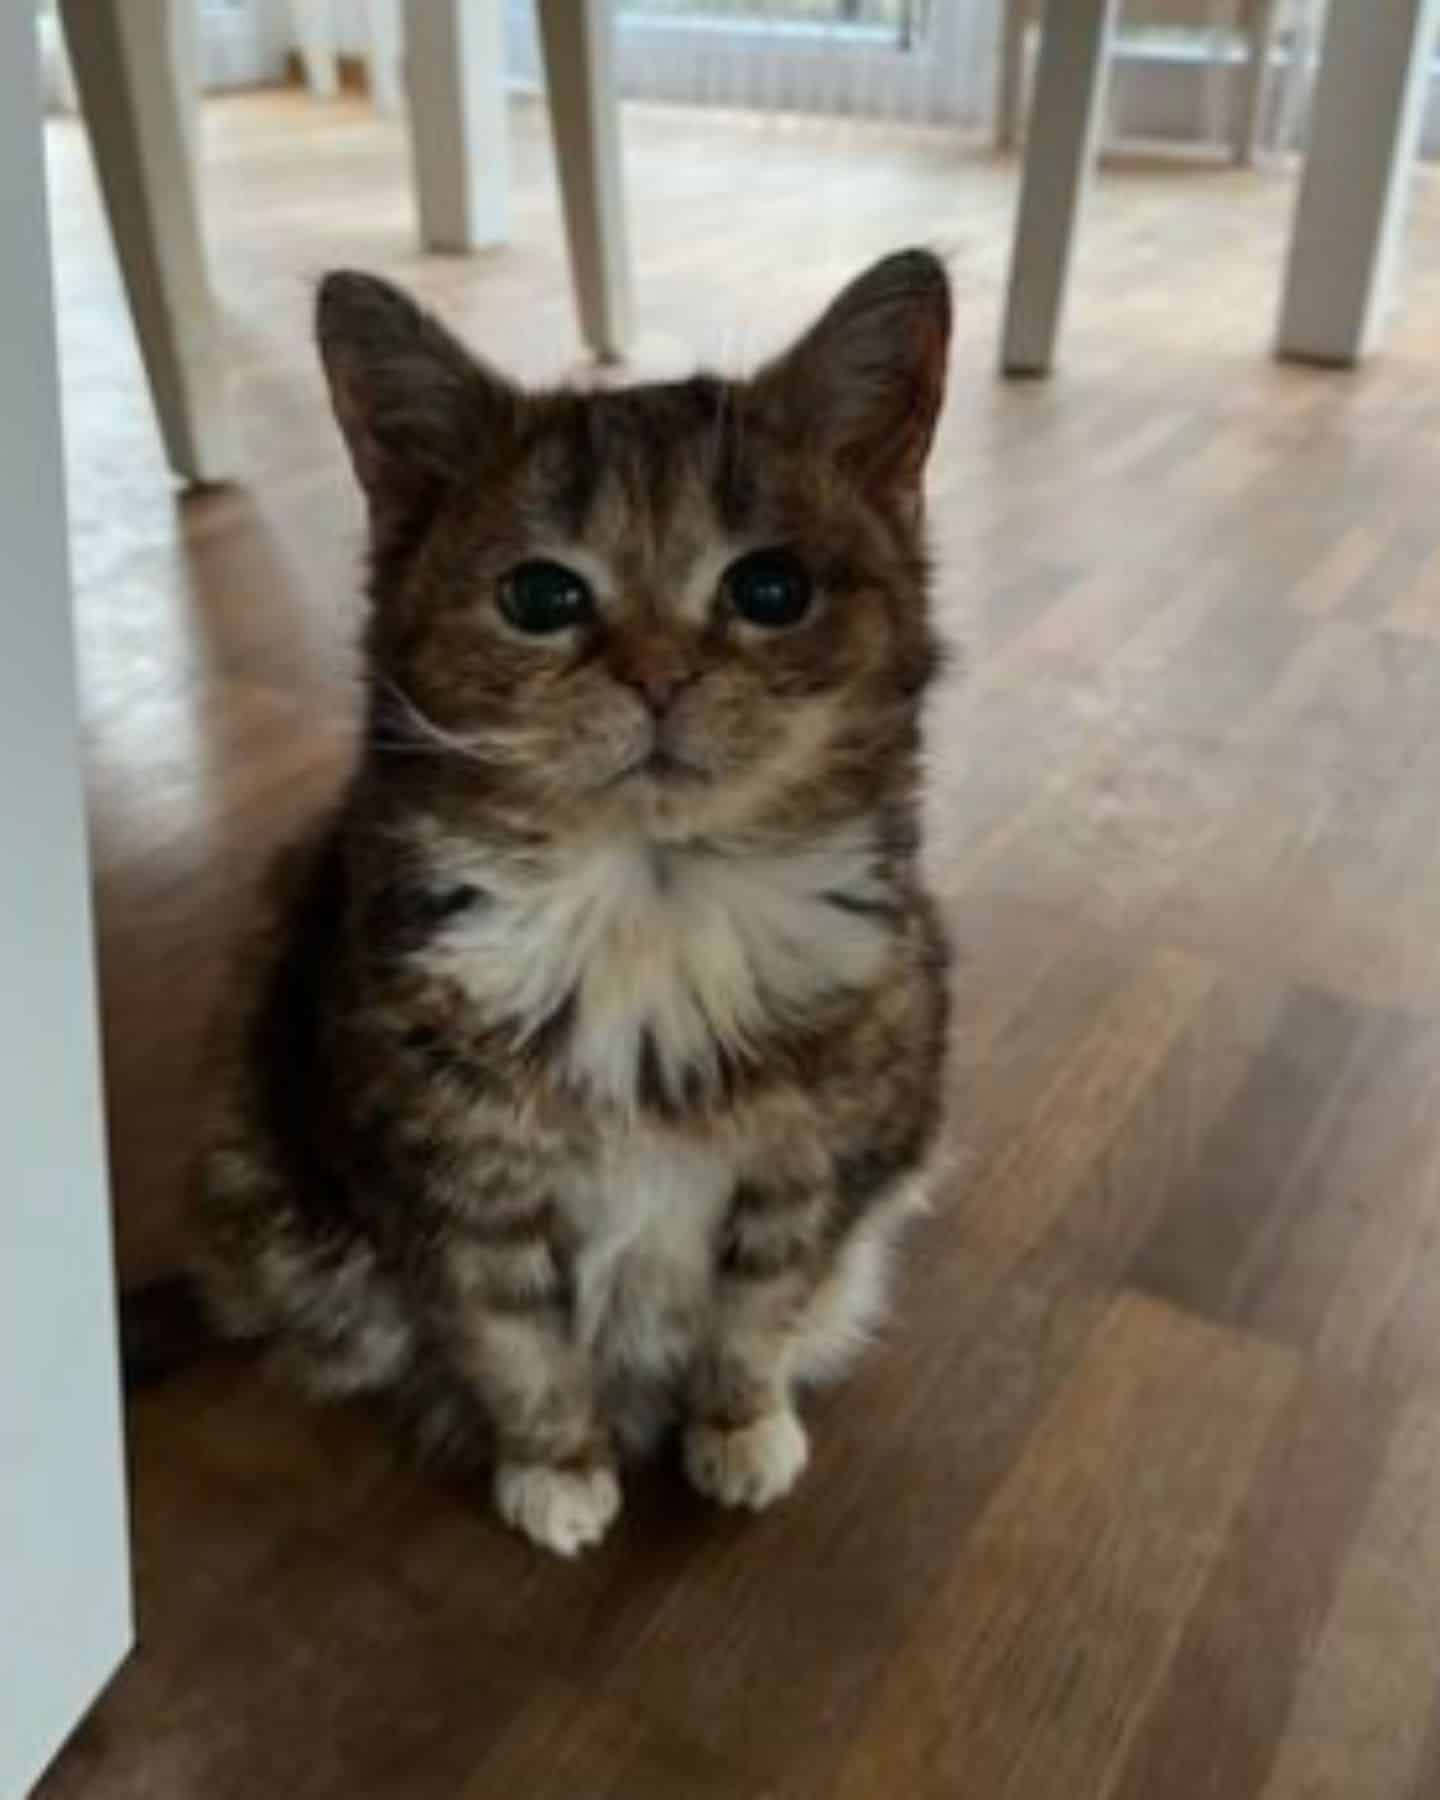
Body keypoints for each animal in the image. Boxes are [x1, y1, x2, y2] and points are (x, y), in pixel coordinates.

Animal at [190, 246, 957, 1555]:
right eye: (540, 598)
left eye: (771, 587)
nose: (658, 678)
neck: (651, 906)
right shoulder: (458, 1194)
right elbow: (517, 1346)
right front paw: (556, 1468)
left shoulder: (812, 1165)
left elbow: (759, 1315)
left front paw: (739, 1429)